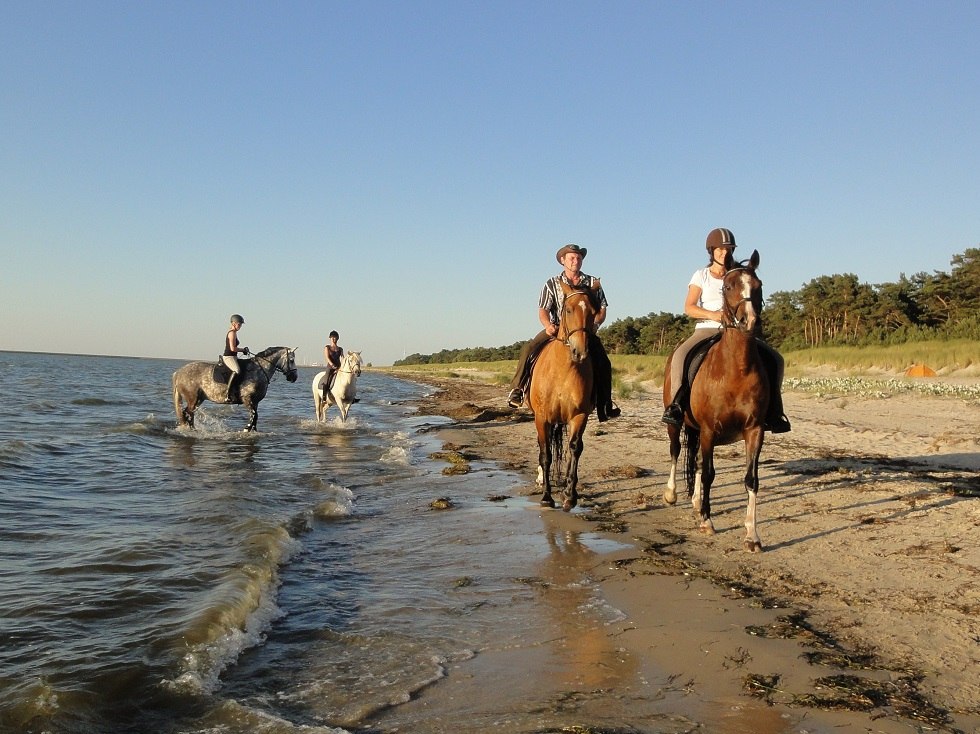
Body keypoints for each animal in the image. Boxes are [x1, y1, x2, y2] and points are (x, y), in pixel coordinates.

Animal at [528, 280, 596, 512]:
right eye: (568, 310)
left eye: (594, 312)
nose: (580, 352)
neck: (563, 370)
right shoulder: (542, 418)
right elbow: (546, 455)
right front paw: (547, 496)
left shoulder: (579, 416)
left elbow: (574, 449)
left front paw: (569, 495)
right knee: (544, 448)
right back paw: (541, 479)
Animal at [664, 253, 768, 552]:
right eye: (728, 287)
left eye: (758, 285)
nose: (749, 321)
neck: (736, 369)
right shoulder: (710, 429)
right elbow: (709, 473)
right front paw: (707, 522)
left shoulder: (755, 430)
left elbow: (751, 479)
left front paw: (752, 535)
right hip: (677, 424)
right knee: (676, 451)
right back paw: (671, 495)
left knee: (696, 460)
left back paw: (697, 503)